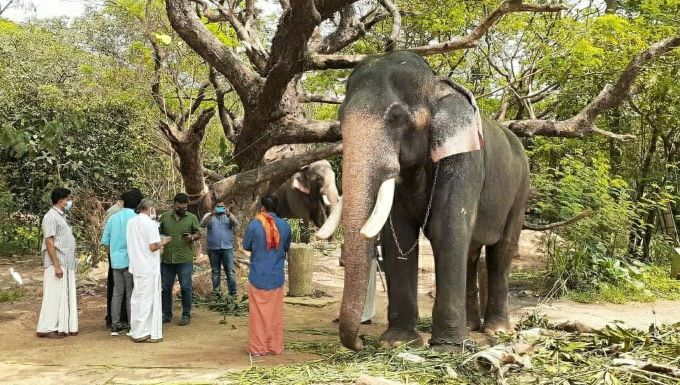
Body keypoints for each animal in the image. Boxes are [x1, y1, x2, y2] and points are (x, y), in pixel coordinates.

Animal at [318, 51, 532, 352]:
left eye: (396, 118)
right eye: (340, 120)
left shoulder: (464, 160)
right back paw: (471, 327)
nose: (360, 342)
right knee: (471, 252)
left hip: (521, 189)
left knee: (502, 251)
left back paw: (497, 332)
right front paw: (397, 343)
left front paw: (446, 348)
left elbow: (447, 229)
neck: (437, 87)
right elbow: (399, 233)